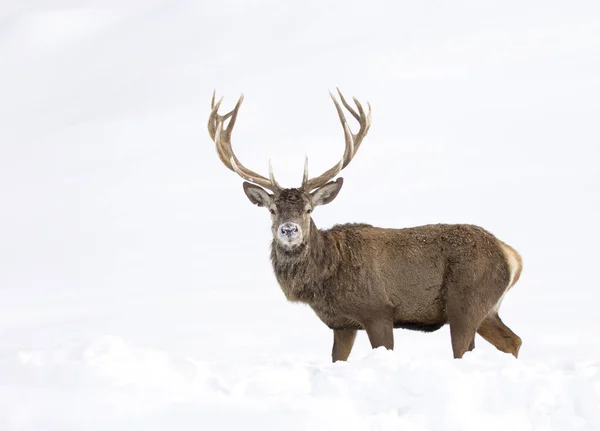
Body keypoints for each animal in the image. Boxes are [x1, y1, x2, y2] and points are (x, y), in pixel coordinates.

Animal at [204, 89, 524, 362]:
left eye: (308, 209)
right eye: (272, 210)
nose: (289, 229)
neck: (326, 277)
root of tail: (511, 255)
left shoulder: (378, 311)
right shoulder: (342, 324)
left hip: (466, 301)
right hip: (486, 309)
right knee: (513, 341)